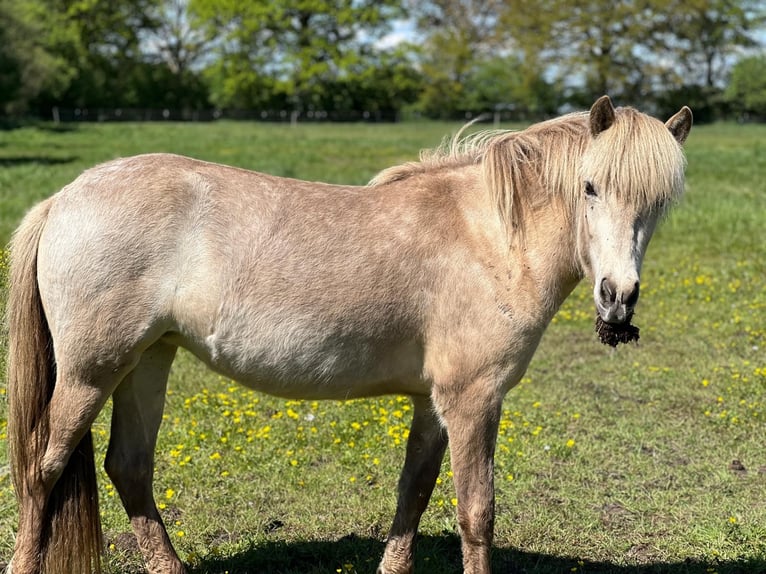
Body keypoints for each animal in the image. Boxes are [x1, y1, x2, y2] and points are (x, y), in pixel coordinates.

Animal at [5, 95, 692, 574]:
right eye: (590, 187)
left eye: (660, 202)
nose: (617, 299)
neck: (490, 238)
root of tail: (65, 197)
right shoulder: (473, 401)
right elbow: (476, 512)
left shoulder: (432, 403)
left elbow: (413, 492)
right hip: (92, 371)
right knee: (44, 466)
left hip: (149, 359)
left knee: (129, 466)